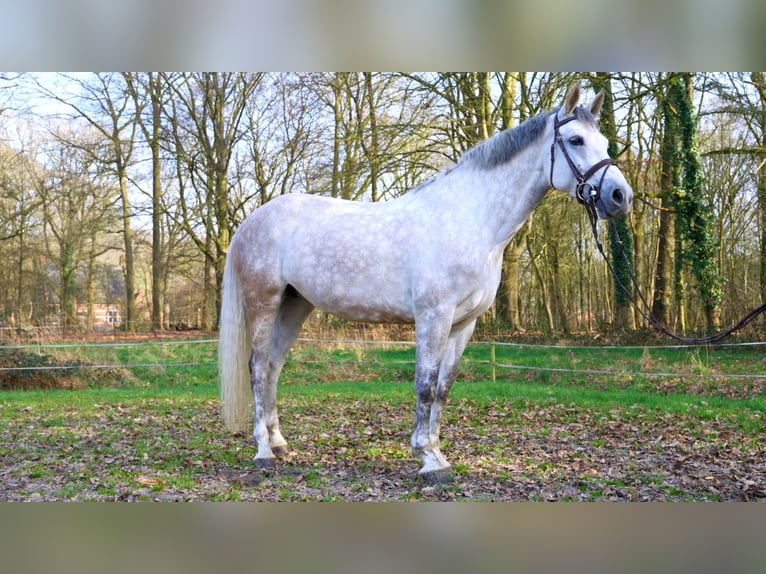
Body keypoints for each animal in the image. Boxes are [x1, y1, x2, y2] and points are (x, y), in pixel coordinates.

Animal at [219, 83, 633, 483]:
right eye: (576, 140)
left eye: (605, 143)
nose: (620, 196)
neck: (472, 218)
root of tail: (250, 222)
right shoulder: (433, 315)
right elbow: (425, 384)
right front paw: (427, 460)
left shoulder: (464, 323)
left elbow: (444, 389)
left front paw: (435, 453)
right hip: (264, 302)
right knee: (258, 368)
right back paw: (263, 452)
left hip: (294, 305)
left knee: (273, 367)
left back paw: (279, 443)